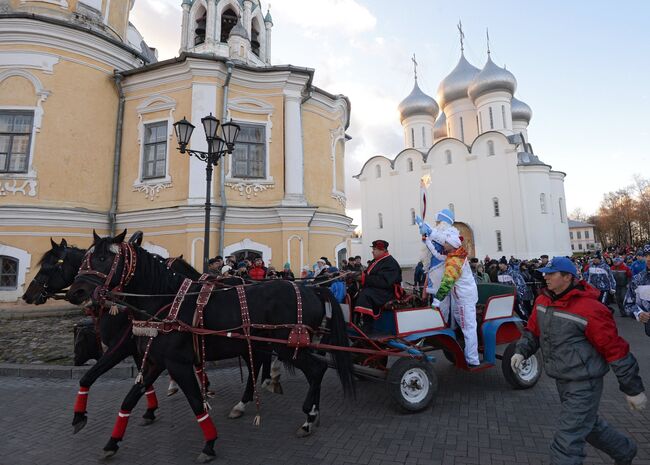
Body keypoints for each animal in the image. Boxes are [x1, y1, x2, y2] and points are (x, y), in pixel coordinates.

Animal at [67, 231, 354, 460]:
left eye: (103, 258)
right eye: (85, 258)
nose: (75, 292)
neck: (169, 303)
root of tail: (311, 289)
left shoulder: (176, 363)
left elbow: (196, 402)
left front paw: (209, 443)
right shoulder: (155, 361)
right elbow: (128, 399)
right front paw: (110, 440)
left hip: (287, 346)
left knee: (316, 370)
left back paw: (307, 417)